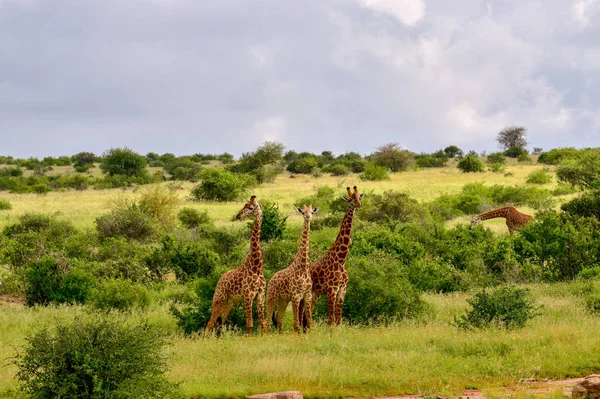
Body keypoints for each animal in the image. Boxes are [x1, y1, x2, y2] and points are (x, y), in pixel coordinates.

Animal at [204, 195, 264, 336]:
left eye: (250, 207)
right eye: (245, 205)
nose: (238, 215)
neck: (257, 266)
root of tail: (219, 280)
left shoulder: (260, 295)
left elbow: (262, 323)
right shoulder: (248, 296)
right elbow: (249, 323)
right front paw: (250, 338)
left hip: (229, 303)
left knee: (219, 324)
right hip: (219, 299)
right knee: (209, 324)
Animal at [264, 203, 316, 334]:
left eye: (312, 212)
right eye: (303, 212)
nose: (308, 217)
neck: (303, 266)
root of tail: (271, 278)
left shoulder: (307, 295)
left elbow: (310, 322)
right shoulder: (296, 296)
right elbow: (296, 325)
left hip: (283, 300)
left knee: (279, 318)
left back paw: (280, 335)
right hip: (271, 297)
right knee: (267, 321)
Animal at [302, 186, 364, 326]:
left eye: (359, 197)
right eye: (350, 199)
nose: (358, 204)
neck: (341, 260)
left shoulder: (342, 290)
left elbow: (339, 320)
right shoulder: (332, 290)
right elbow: (331, 320)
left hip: (316, 293)